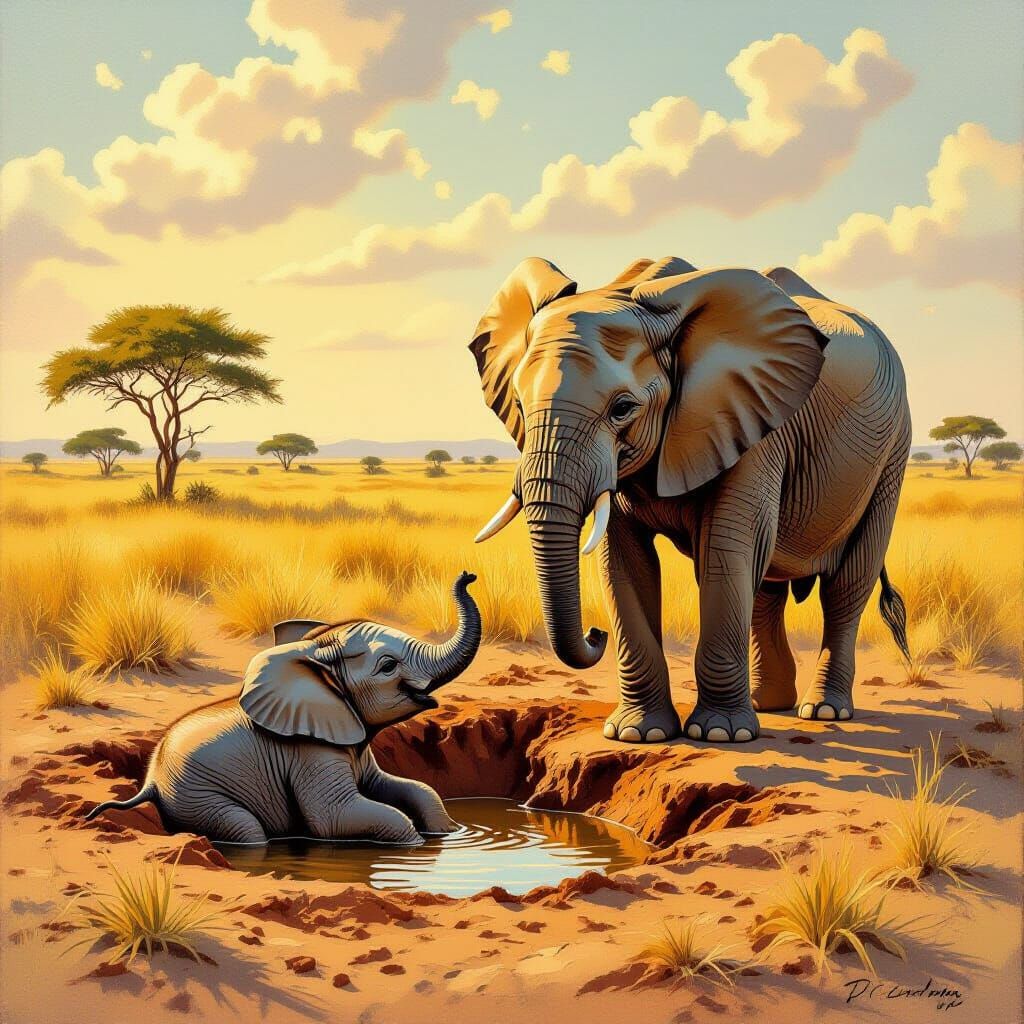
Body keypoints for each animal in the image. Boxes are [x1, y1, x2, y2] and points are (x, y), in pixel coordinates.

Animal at [85, 572, 481, 845]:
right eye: (387, 667)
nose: (468, 576)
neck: (315, 653)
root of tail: (150, 781)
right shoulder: (308, 751)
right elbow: (334, 816)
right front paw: (414, 845)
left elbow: (405, 787)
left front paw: (448, 834)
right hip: (197, 797)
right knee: (246, 829)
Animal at [469, 257, 910, 744]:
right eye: (519, 405)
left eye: (622, 409)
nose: (595, 632)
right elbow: (622, 562)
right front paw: (637, 734)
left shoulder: (753, 425)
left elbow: (725, 550)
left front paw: (720, 735)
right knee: (766, 587)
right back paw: (769, 705)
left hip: (892, 452)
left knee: (847, 584)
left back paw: (823, 711)